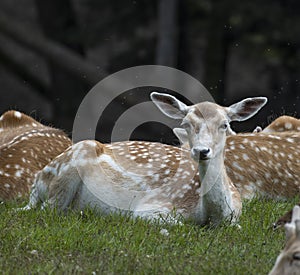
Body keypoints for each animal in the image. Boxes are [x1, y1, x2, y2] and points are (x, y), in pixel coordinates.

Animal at [21, 92, 300, 226]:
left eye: (225, 124)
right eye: (186, 123)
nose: (202, 151)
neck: (211, 214)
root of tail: (36, 181)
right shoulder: (150, 208)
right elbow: (177, 224)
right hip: (66, 171)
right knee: (48, 211)